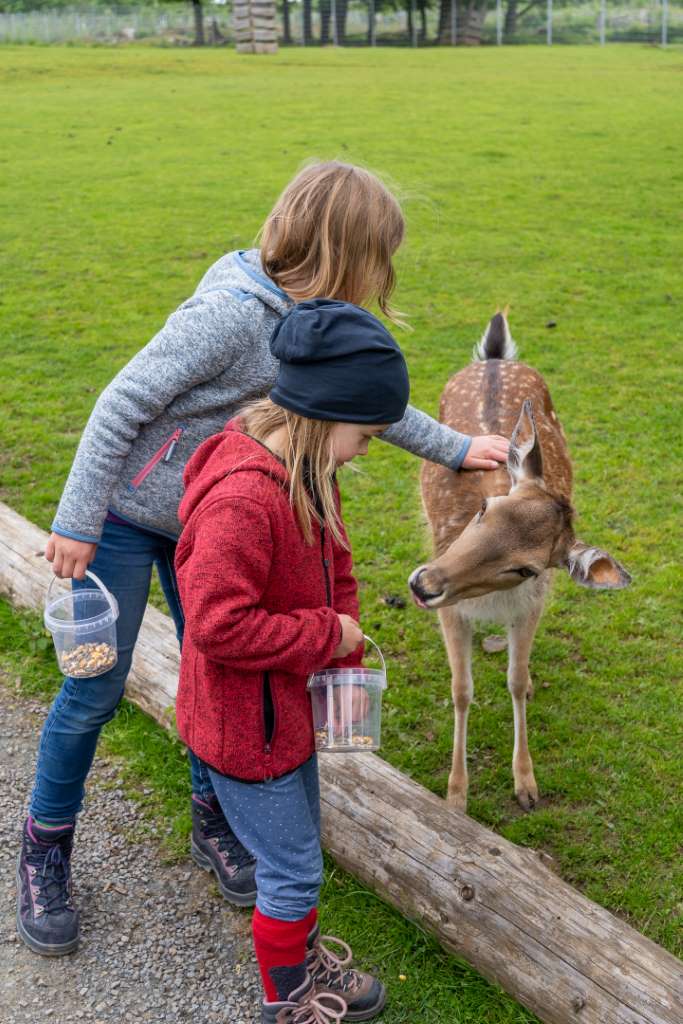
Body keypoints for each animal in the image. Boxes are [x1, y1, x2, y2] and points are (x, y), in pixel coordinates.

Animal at [411, 307, 630, 811]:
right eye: (485, 509)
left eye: (525, 568)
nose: (424, 583)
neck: (489, 603)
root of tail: (494, 358)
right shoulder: (451, 611)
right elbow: (460, 690)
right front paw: (456, 795)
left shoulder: (531, 602)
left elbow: (513, 678)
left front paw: (526, 785)